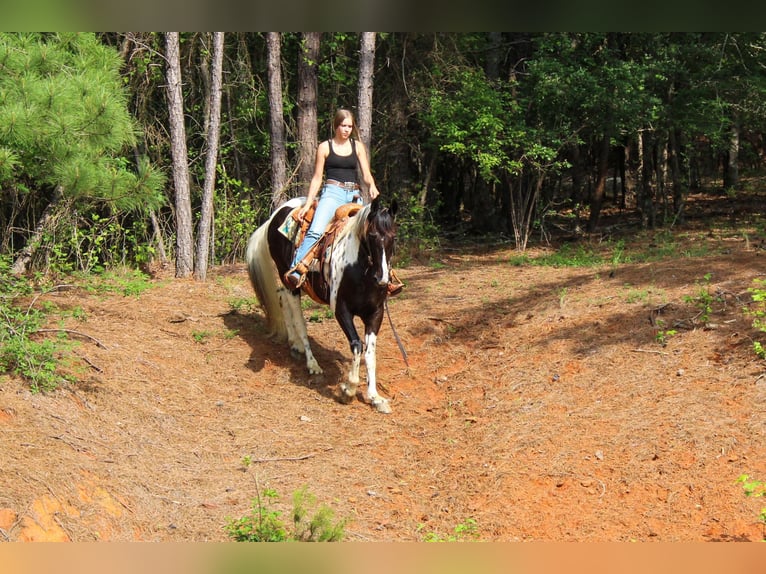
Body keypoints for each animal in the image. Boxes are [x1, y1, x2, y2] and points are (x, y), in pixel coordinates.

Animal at [248, 198, 402, 414]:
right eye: (372, 235)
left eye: (393, 236)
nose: (382, 279)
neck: (359, 270)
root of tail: (275, 215)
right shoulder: (341, 310)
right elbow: (357, 345)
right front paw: (349, 389)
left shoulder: (376, 313)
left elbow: (370, 352)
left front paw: (375, 397)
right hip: (289, 278)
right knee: (299, 319)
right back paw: (312, 363)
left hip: (295, 286)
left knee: (282, 299)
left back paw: (294, 344)